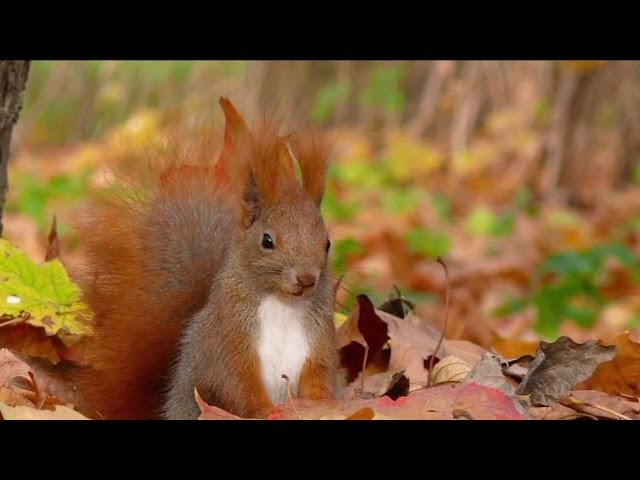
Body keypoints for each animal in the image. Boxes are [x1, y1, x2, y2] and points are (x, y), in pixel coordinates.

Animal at [74, 98, 340, 420]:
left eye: (327, 244)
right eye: (267, 241)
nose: (306, 278)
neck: (283, 304)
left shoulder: (319, 344)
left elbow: (319, 378)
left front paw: (324, 405)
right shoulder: (229, 342)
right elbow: (238, 385)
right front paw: (269, 411)